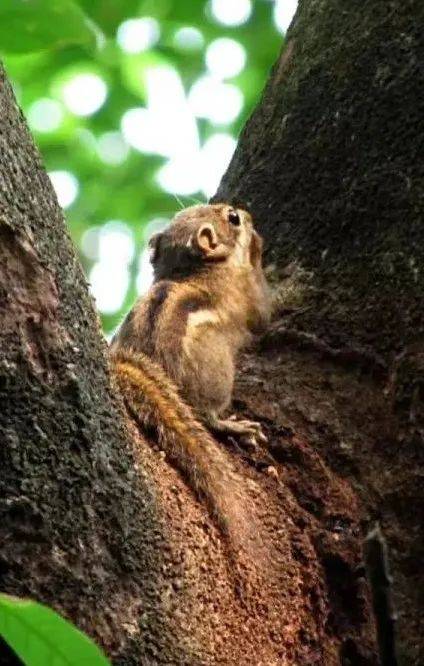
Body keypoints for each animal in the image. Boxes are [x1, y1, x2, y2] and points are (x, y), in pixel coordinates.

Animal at [111, 204, 270, 536]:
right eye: (233, 218)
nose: (247, 213)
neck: (190, 272)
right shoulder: (248, 296)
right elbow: (264, 314)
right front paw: (256, 247)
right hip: (218, 378)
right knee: (206, 417)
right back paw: (234, 426)